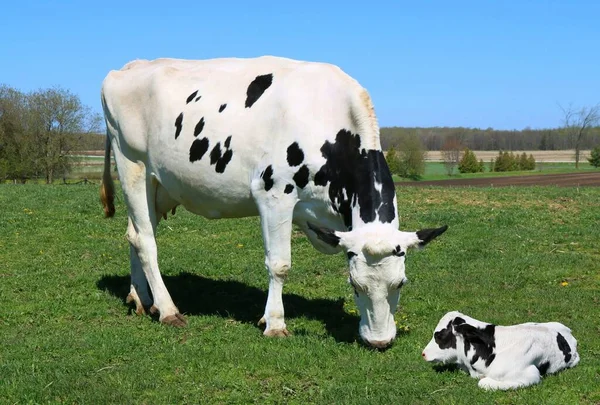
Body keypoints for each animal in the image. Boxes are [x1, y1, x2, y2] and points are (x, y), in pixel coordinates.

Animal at [99, 55, 446, 348]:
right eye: (354, 284)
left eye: (400, 283)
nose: (379, 341)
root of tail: (131, 66)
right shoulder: (274, 194)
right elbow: (279, 265)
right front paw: (276, 323)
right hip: (132, 165)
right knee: (146, 241)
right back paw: (168, 309)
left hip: (159, 186)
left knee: (134, 234)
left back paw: (140, 298)